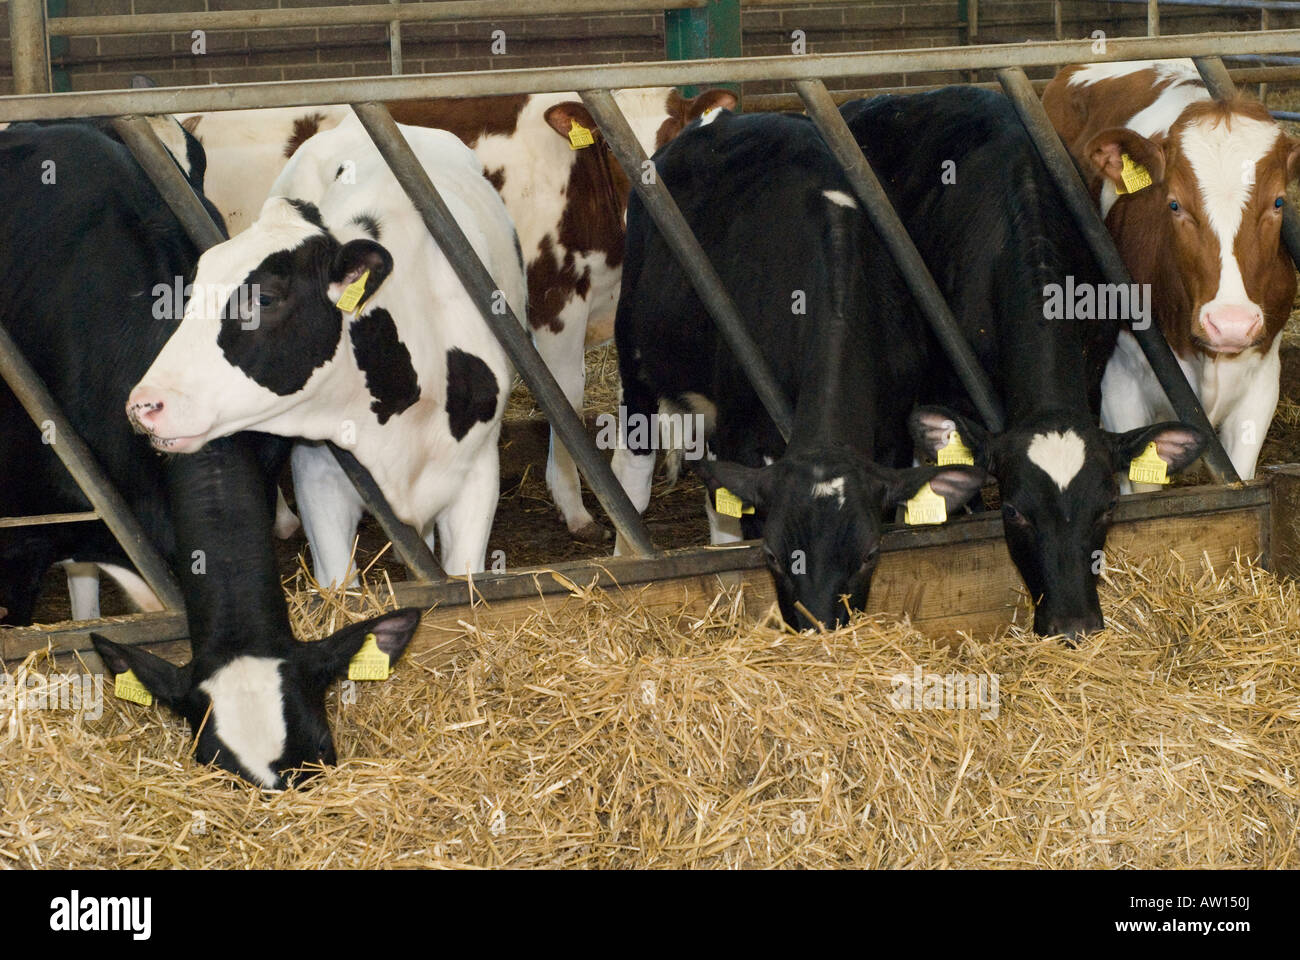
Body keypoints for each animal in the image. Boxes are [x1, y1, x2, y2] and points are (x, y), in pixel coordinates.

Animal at [180, 87, 736, 546]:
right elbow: (567, 396)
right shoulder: (555, 300)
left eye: (671, 146)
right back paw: (283, 520)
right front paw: (577, 509)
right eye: (611, 151)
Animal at [611, 109, 986, 631]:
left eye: (869, 554)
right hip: (635, 355)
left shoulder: (891, 433)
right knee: (634, 469)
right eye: (771, 555)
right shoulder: (742, 432)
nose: (818, 628)